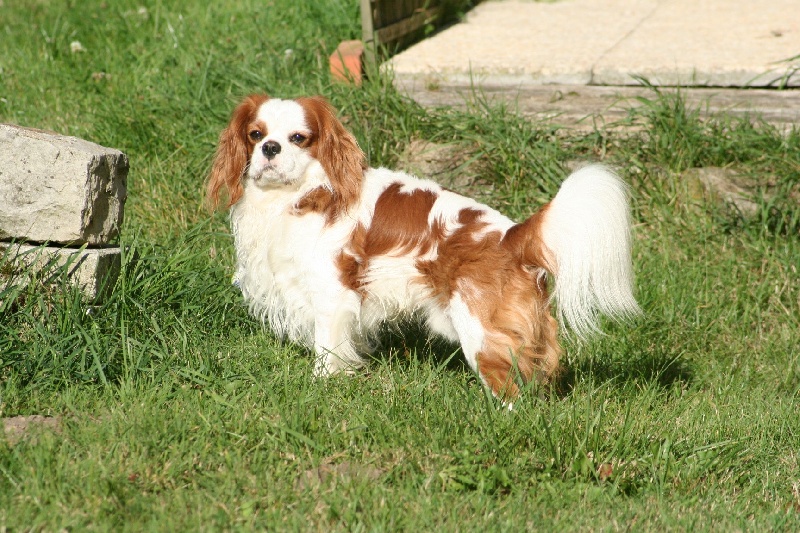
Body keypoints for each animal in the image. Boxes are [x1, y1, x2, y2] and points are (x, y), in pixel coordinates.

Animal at [208, 94, 644, 400]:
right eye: (255, 135)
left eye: (298, 138)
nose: (270, 148)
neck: (304, 193)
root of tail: (513, 236)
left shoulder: (331, 293)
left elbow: (327, 350)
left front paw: (321, 385)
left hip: (479, 329)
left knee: (510, 390)